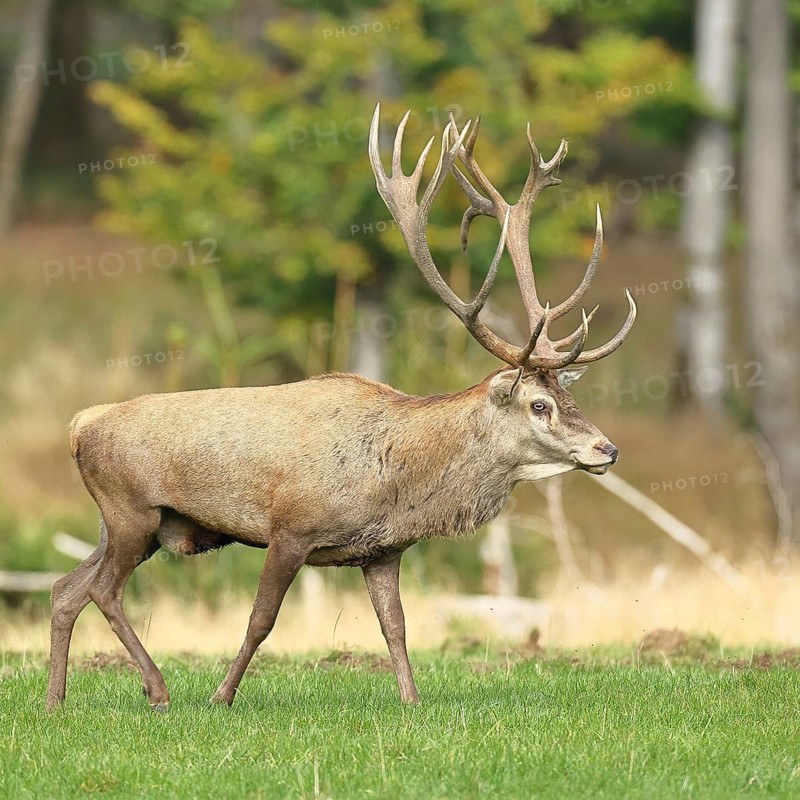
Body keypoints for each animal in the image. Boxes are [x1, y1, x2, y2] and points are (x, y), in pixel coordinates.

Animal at [46, 104, 636, 712]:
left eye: (570, 396)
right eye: (539, 404)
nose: (607, 448)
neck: (396, 479)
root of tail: (79, 424)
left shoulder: (383, 550)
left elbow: (396, 626)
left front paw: (411, 701)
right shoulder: (290, 528)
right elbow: (261, 620)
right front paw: (221, 697)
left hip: (125, 523)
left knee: (66, 588)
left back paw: (56, 700)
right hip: (130, 510)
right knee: (102, 590)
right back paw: (157, 689)